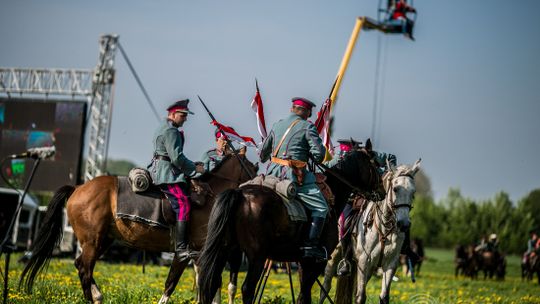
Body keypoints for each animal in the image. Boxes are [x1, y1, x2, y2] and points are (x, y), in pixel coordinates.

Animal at [17, 154, 258, 304]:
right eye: (252, 167)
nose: (256, 186)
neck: (212, 198)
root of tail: (78, 188)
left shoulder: (208, 255)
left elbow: (211, 284)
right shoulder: (189, 254)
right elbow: (173, 284)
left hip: (102, 241)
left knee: (80, 265)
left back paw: (98, 297)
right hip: (92, 242)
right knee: (85, 269)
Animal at [198, 142, 388, 304]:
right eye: (375, 165)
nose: (382, 192)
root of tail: (239, 194)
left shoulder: (302, 262)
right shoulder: (315, 263)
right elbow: (304, 295)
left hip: (225, 250)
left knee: (212, 283)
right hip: (257, 256)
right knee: (247, 289)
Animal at [318, 159, 420, 304]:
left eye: (413, 192)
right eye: (395, 189)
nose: (404, 224)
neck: (384, 229)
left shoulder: (390, 265)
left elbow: (383, 297)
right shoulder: (364, 262)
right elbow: (360, 297)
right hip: (334, 257)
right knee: (325, 288)